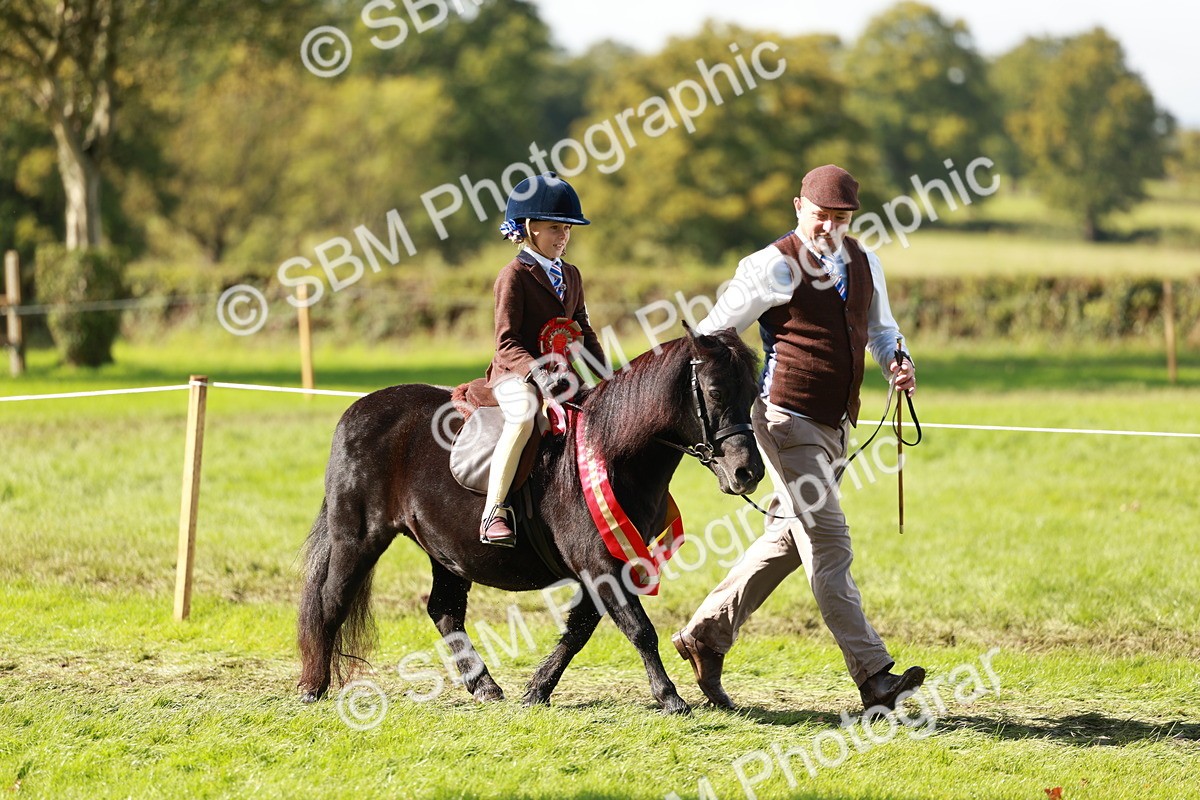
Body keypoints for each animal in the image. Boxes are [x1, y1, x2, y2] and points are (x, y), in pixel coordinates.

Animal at [297, 328, 765, 714]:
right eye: (715, 390)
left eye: (753, 393)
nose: (748, 472)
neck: (612, 451)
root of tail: (357, 410)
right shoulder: (599, 563)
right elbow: (638, 627)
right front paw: (670, 697)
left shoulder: (605, 565)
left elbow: (580, 629)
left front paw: (537, 689)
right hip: (358, 537)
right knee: (331, 601)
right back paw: (313, 685)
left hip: (446, 550)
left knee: (444, 611)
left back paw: (484, 686)